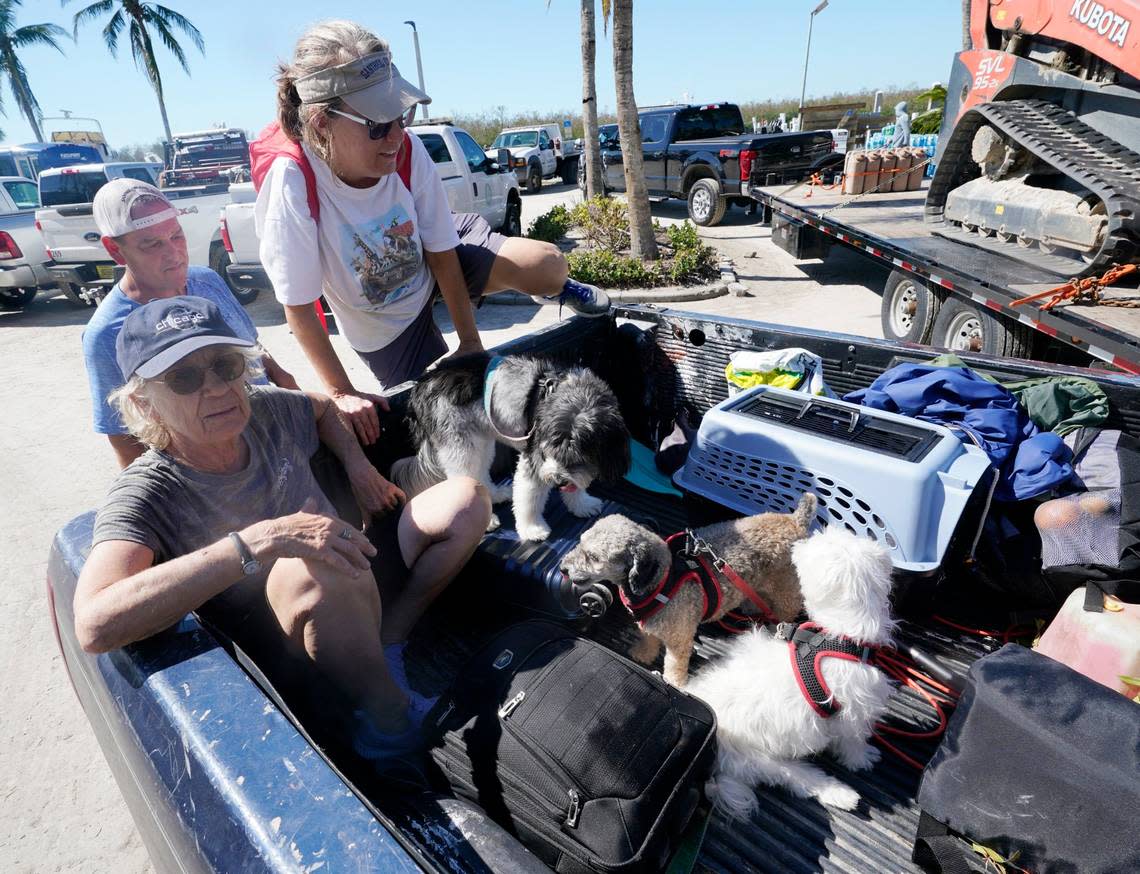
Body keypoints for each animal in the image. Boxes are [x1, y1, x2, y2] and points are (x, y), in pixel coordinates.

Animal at [387, 353, 629, 540]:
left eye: (582, 454)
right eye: (551, 449)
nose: (558, 481)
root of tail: (421, 384)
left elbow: (577, 483)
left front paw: (582, 505)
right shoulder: (534, 458)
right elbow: (529, 498)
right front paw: (532, 529)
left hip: (481, 441)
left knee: (481, 473)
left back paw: (495, 495)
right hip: (460, 445)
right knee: (464, 479)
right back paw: (485, 521)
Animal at [558, 496, 811, 688]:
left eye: (593, 557)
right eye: (580, 542)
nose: (562, 568)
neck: (663, 579)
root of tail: (795, 520)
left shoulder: (679, 641)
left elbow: (674, 665)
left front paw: (674, 683)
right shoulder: (650, 625)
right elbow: (649, 640)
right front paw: (644, 654)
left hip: (785, 589)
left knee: (787, 609)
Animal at [684, 526, 898, 820]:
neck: (840, 636)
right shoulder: (853, 716)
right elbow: (852, 744)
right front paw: (862, 758)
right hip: (763, 759)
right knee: (798, 778)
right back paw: (841, 794)